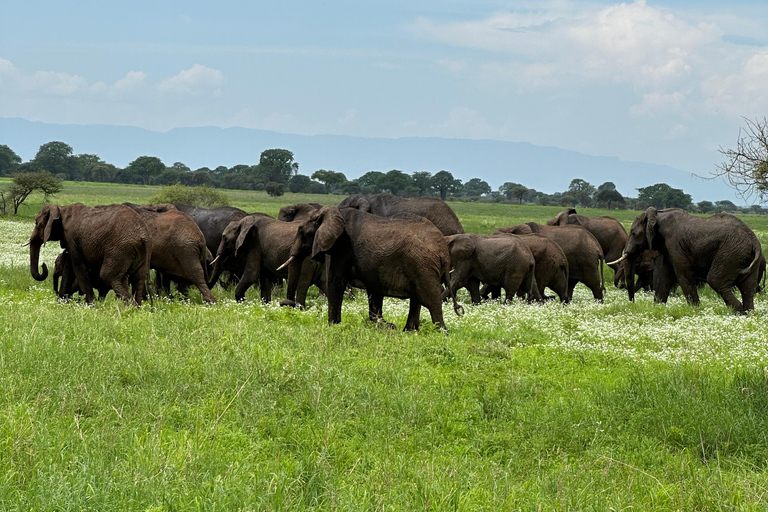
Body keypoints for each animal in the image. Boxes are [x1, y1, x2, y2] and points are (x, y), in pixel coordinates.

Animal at [280, 207, 462, 330]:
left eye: (301, 231)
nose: (287, 305)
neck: (332, 212)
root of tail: (443, 250)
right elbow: (374, 290)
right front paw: (384, 325)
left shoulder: (341, 247)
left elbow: (336, 284)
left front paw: (333, 326)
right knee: (417, 300)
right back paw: (409, 332)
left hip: (423, 265)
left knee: (430, 300)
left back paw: (441, 333)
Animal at [612, 208, 760, 312]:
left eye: (634, 233)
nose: (632, 303)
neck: (659, 214)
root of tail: (754, 240)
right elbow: (664, 277)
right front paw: (658, 309)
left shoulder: (675, 244)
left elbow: (684, 275)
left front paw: (695, 310)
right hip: (743, 256)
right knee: (747, 287)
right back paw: (748, 313)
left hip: (730, 253)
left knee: (716, 281)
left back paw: (739, 312)